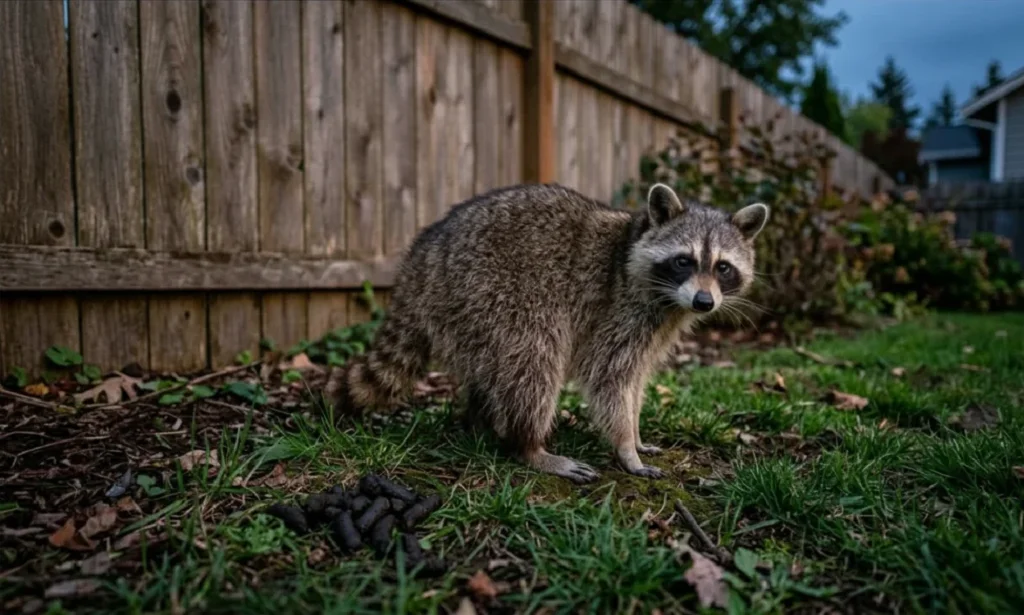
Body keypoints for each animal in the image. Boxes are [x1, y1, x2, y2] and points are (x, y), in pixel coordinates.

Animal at [325, 183, 768, 483]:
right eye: (683, 261)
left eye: (723, 267)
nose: (704, 302)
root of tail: (423, 258)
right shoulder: (619, 308)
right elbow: (609, 378)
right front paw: (626, 446)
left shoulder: (657, 325)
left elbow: (635, 381)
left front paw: (636, 432)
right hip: (490, 291)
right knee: (534, 358)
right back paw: (530, 446)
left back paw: (483, 425)